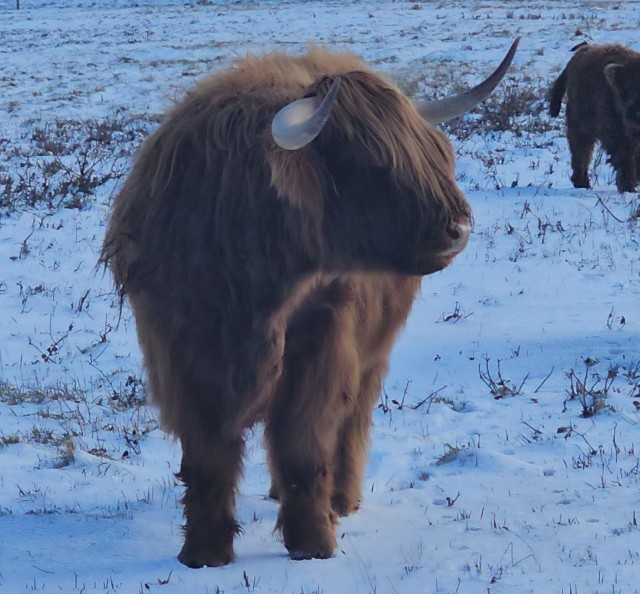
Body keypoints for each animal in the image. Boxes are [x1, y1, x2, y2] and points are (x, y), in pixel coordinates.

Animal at [100, 38, 519, 568]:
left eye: (434, 154)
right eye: (373, 166)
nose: (460, 227)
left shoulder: (323, 347)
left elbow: (305, 444)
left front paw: (313, 543)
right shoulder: (179, 356)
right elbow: (208, 456)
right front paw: (204, 553)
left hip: (371, 355)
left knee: (352, 420)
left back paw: (341, 499)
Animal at [549, 42, 640, 192]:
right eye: (627, 87)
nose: (635, 114)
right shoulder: (614, 133)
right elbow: (625, 157)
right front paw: (628, 187)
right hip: (578, 124)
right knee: (581, 152)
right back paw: (582, 183)